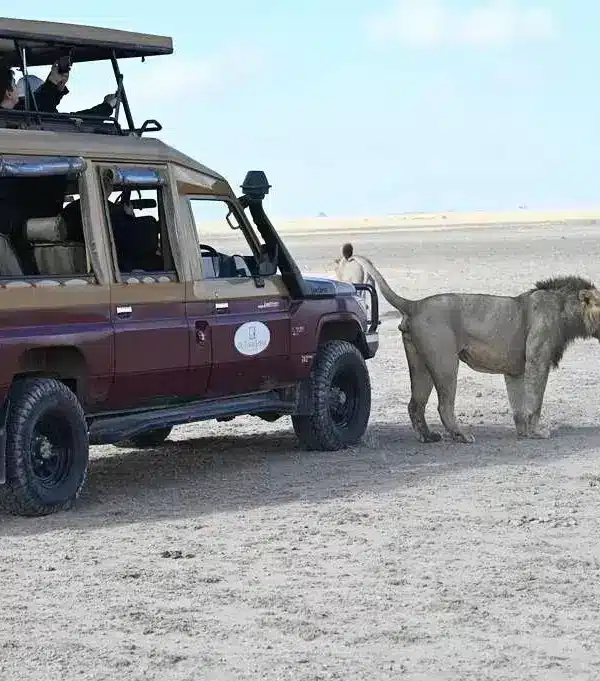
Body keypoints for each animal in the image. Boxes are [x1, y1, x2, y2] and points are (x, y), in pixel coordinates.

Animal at [352, 255, 600, 443]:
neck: (566, 311)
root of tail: (415, 304)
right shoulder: (537, 361)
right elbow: (535, 402)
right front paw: (538, 433)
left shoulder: (515, 371)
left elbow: (518, 406)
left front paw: (523, 433)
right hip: (445, 362)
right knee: (444, 405)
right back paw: (461, 436)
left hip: (420, 363)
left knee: (415, 404)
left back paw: (429, 437)